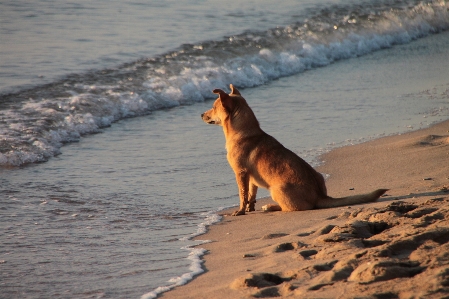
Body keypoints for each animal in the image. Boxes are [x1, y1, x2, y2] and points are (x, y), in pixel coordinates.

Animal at [201, 84, 386, 216]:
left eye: (214, 107)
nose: (202, 114)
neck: (243, 131)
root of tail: (320, 196)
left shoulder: (240, 173)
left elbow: (242, 195)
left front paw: (240, 211)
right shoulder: (251, 177)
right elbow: (251, 195)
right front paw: (249, 208)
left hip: (276, 189)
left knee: (289, 208)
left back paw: (270, 207)